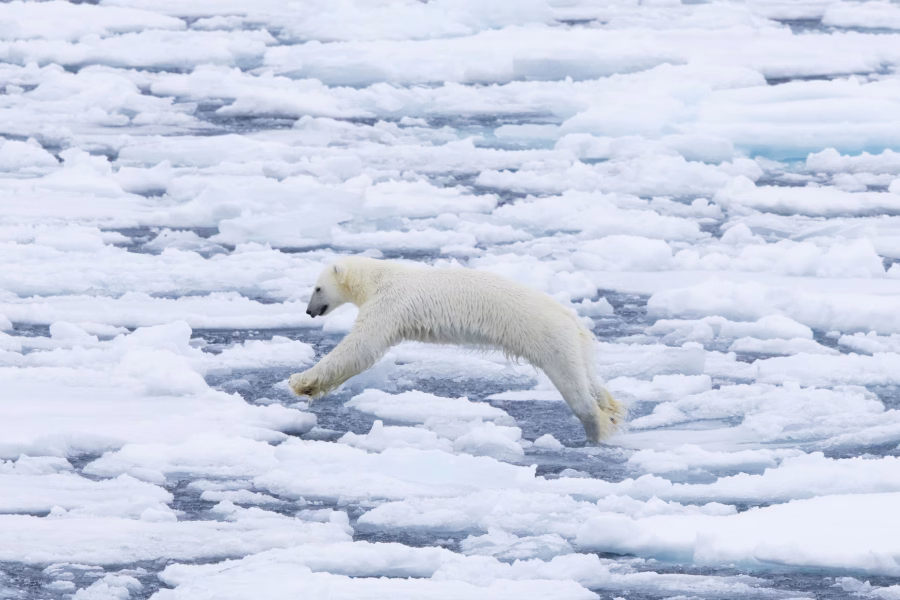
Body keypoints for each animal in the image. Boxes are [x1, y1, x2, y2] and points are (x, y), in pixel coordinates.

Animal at [289, 256, 624, 443]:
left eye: (317, 288)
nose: (309, 311)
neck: (379, 277)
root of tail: (573, 320)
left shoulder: (389, 304)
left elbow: (360, 348)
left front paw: (301, 382)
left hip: (549, 340)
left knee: (574, 387)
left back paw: (597, 430)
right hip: (574, 344)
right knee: (590, 378)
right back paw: (612, 410)